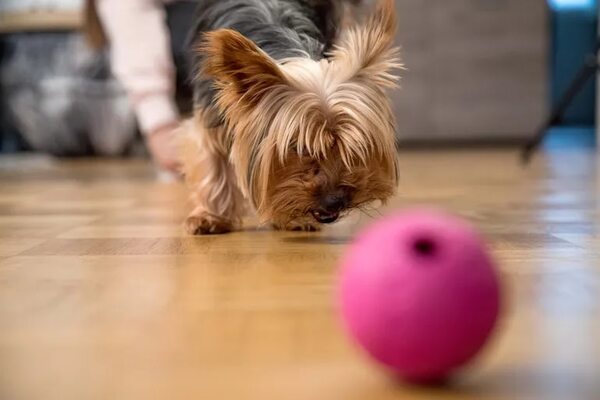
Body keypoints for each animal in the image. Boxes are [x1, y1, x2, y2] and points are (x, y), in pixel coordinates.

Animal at [180, 0, 400, 234]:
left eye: (354, 148)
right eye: (300, 148)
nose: (335, 201)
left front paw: (293, 218)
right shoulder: (209, 112)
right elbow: (213, 162)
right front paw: (210, 216)